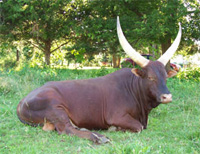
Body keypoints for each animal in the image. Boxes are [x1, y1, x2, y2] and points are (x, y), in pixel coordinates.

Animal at [16, 16, 181, 143]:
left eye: (166, 77)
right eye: (151, 77)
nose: (167, 97)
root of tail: (22, 101)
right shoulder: (118, 116)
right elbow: (138, 127)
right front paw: (115, 129)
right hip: (55, 107)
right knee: (66, 129)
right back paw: (99, 137)